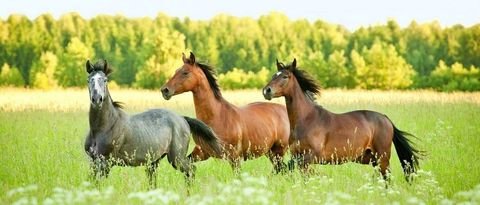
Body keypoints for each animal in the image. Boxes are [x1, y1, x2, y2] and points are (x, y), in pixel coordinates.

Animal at [84, 59, 223, 187]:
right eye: (89, 79)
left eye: (105, 80)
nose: (97, 99)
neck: (104, 127)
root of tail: (182, 119)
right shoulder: (93, 161)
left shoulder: (105, 161)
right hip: (154, 161)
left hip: (176, 158)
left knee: (191, 170)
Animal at [161, 52, 290, 173]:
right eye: (176, 71)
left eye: (185, 73)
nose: (165, 90)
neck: (217, 116)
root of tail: (284, 110)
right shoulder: (201, 152)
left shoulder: (234, 157)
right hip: (270, 152)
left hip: (278, 152)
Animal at [260, 58, 422, 181]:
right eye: (274, 75)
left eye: (285, 76)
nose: (266, 91)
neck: (307, 120)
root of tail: (386, 119)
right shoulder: (298, 156)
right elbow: (288, 169)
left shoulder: (311, 156)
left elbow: (287, 168)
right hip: (371, 158)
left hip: (382, 157)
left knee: (387, 177)